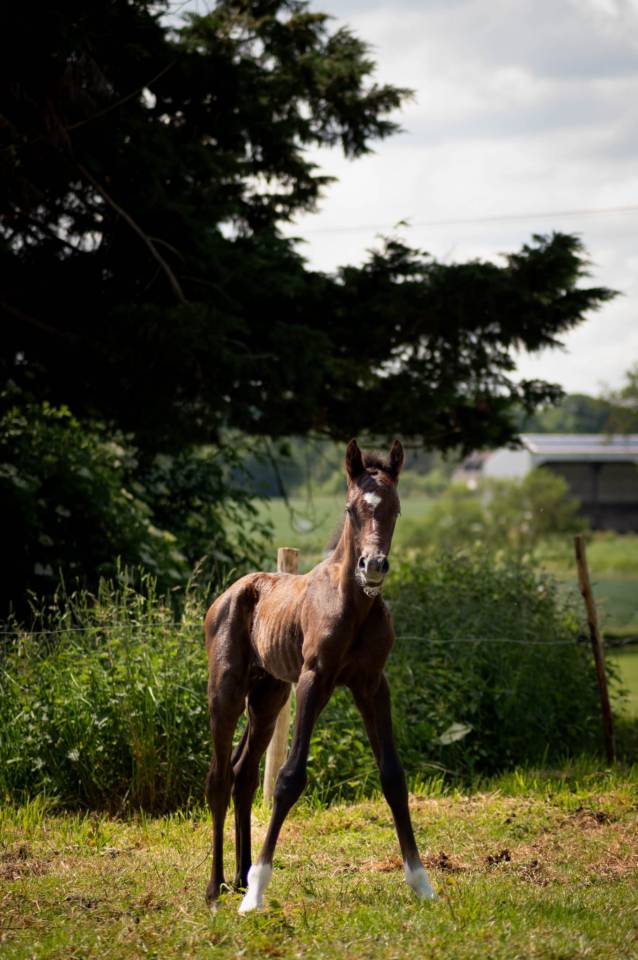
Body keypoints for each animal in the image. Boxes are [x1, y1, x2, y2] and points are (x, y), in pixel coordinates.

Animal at [204, 438, 436, 912]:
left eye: (396, 508)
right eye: (350, 508)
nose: (372, 566)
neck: (354, 606)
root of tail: (225, 596)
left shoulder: (372, 684)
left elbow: (393, 775)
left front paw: (422, 883)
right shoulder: (314, 680)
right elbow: (289, 777)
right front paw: (257, 893)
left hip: (268, 699)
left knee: (243, 774)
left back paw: (238, 875)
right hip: (226, 694)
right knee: (219, 778)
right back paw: (216, 890)